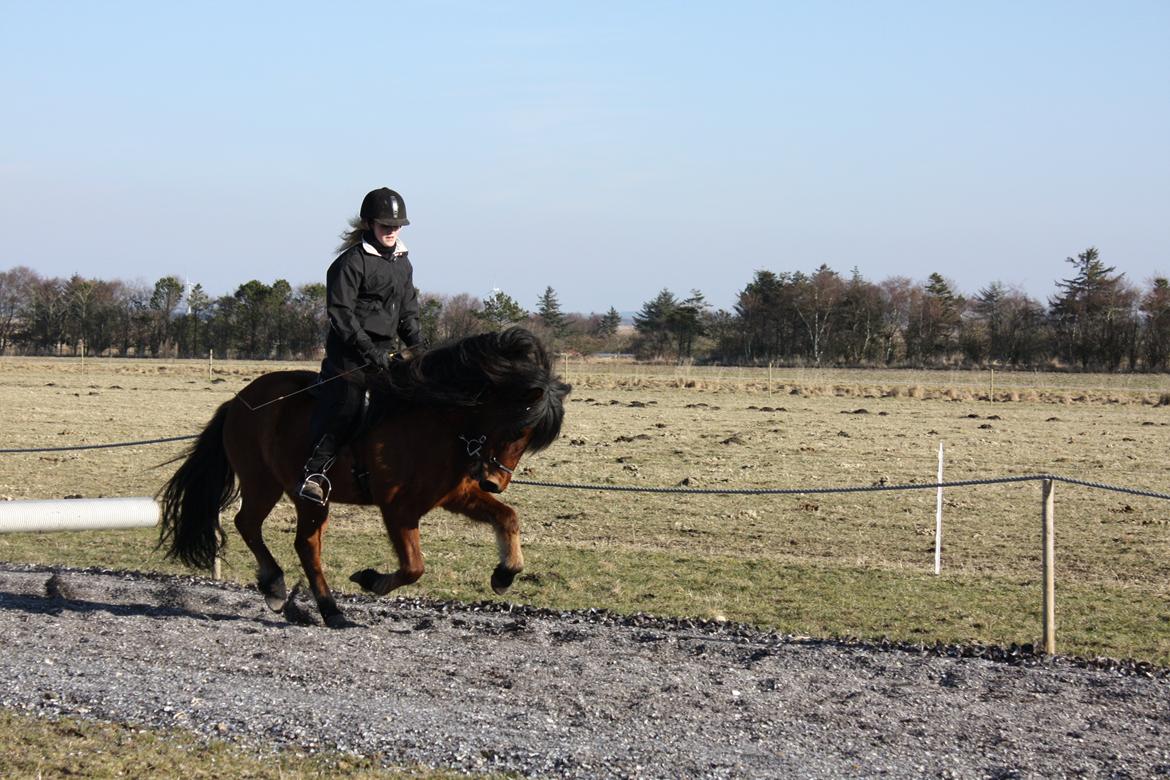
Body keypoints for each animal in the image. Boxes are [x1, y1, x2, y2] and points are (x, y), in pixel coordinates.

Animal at [159, 327, 570, 626]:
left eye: (531, 438)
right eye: (519, 429)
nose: (493, 482)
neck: (437, 418)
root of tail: (238, 402)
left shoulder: (455, 497)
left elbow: (508, 517)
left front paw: (505, 574)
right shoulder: (398, 507)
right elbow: (414, 566)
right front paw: (372, 580)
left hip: (306, 499)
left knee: (305, 544)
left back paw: (323, 609)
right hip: (265, 483)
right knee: (251, 524)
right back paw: (280, 589)